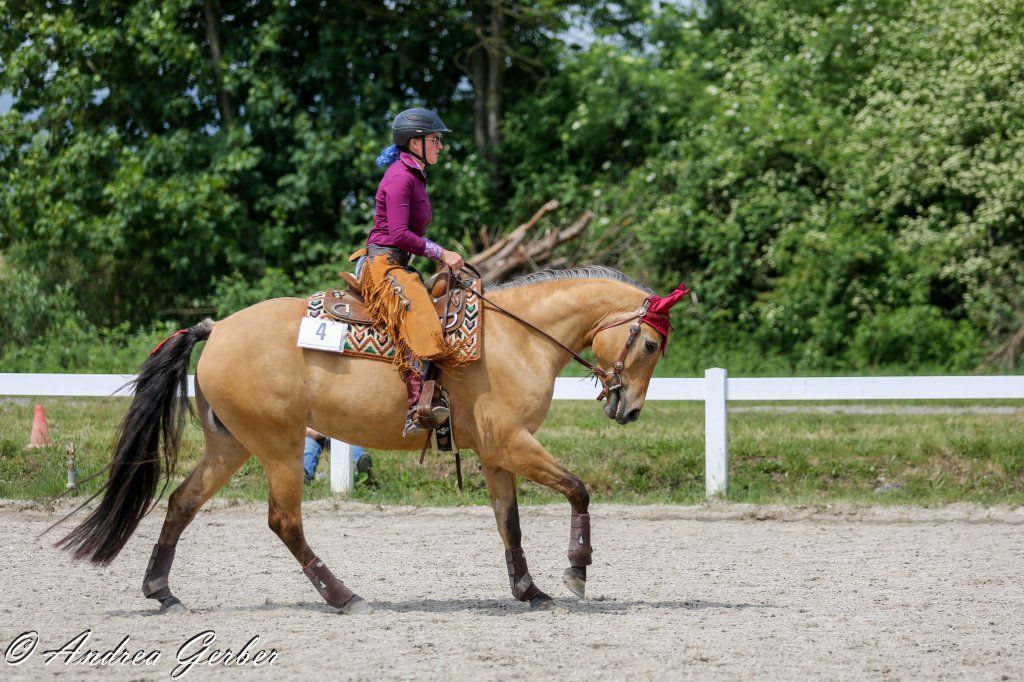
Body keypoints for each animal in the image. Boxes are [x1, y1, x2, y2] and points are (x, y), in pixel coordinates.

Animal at [57, 266, 686, 613]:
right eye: (651, 344)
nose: (629, 409)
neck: (516, 338)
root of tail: (216, 327)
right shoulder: (513, 443)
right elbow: (578, 489)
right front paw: (576, 571)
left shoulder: (496, 453)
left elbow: (509, 523)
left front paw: (529, 590)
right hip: (280, 446)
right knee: (284, 522)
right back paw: (344, 596)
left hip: (230, 447)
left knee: (181, 503)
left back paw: (161, 591)